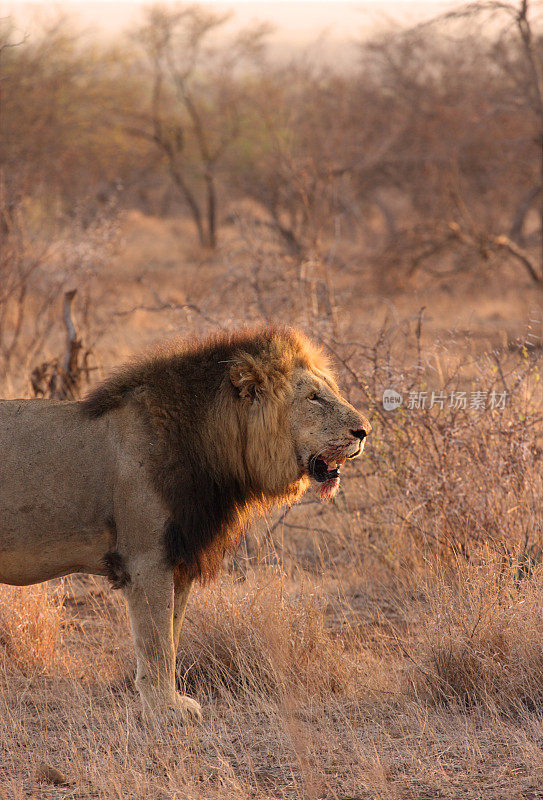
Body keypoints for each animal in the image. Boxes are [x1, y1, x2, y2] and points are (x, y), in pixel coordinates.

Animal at [0, 324, 370, 720]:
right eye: (314, 398)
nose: (364, 431)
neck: (213, 447)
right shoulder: (146, 559)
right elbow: (157, 643)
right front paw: (165, 710)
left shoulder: (179, 558)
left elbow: (171, 633)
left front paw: (167, 702)